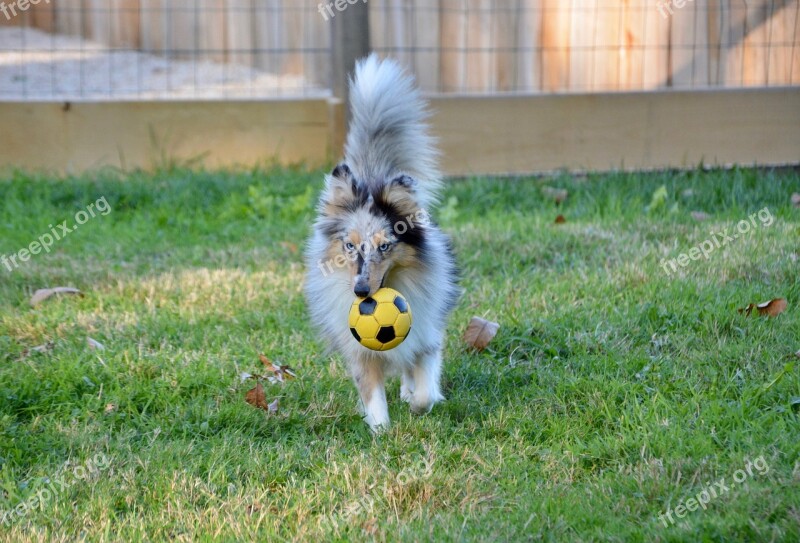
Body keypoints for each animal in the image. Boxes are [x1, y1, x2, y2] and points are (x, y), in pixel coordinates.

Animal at [304, 53, 460, 432]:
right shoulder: (357, 350)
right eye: (349, 246)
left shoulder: (427, 336)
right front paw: (381, 430)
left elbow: (425, 388)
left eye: (385, 246)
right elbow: (371, 392)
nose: (361, 292)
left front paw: (417, 403)